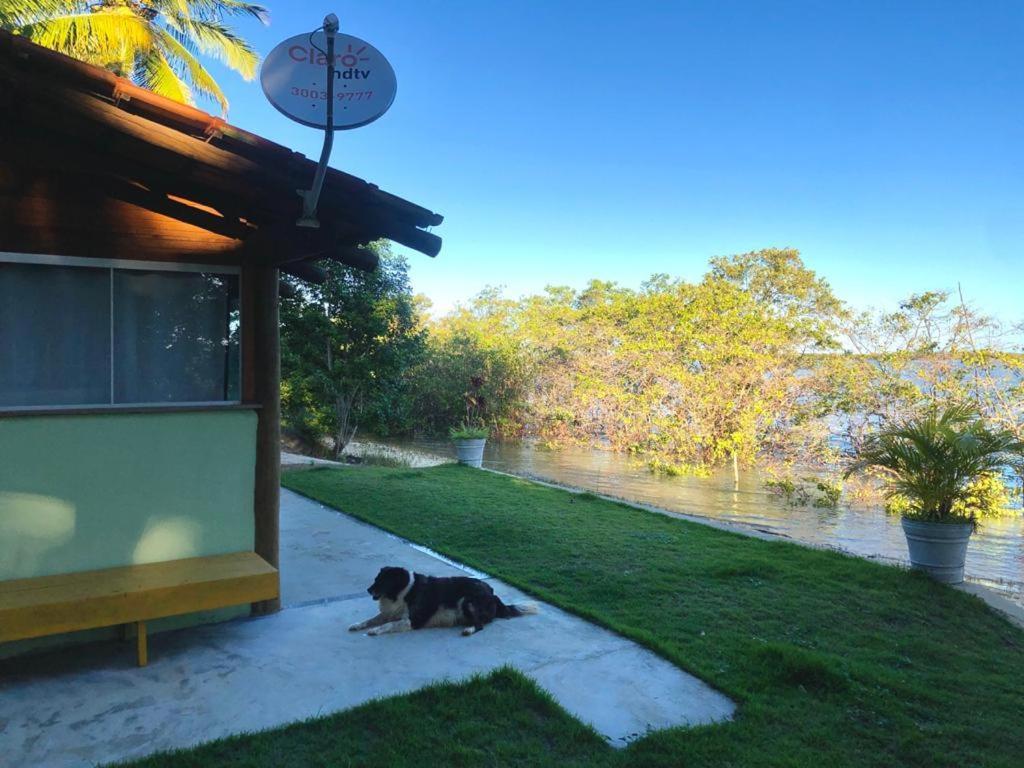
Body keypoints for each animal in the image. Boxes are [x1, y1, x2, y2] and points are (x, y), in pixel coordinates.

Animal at [352, 565, 540, 638]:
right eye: (376, 579)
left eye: (382, 581)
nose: (368, 590)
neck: (404, 589)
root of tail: (492, 593)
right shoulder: (389, 613)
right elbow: (371, 620)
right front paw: (357, 625)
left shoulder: (413, 620)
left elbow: (388, 625)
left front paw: (375, 631)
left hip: (467, 601)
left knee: (481, 625)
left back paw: (469, 629)